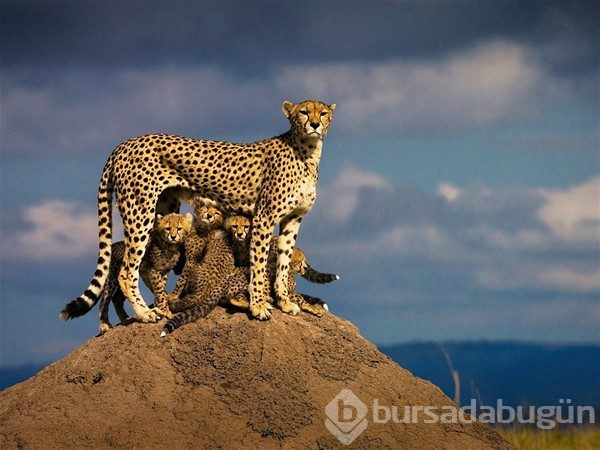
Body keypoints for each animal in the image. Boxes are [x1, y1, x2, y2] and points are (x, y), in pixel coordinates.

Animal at [72, 100, 336, 322]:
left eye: (322, 113)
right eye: (304, 112)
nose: (314, 124)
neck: (308, 152)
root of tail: (124, 143)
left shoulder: (293, 219)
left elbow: (283, 261)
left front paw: (285, 302)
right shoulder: (264, 218)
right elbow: (259, 264)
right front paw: (259, 305)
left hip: (164, 210)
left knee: (153, 267)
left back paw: (162, 306)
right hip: (139, 211)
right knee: (127, 271)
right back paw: (145, 312)